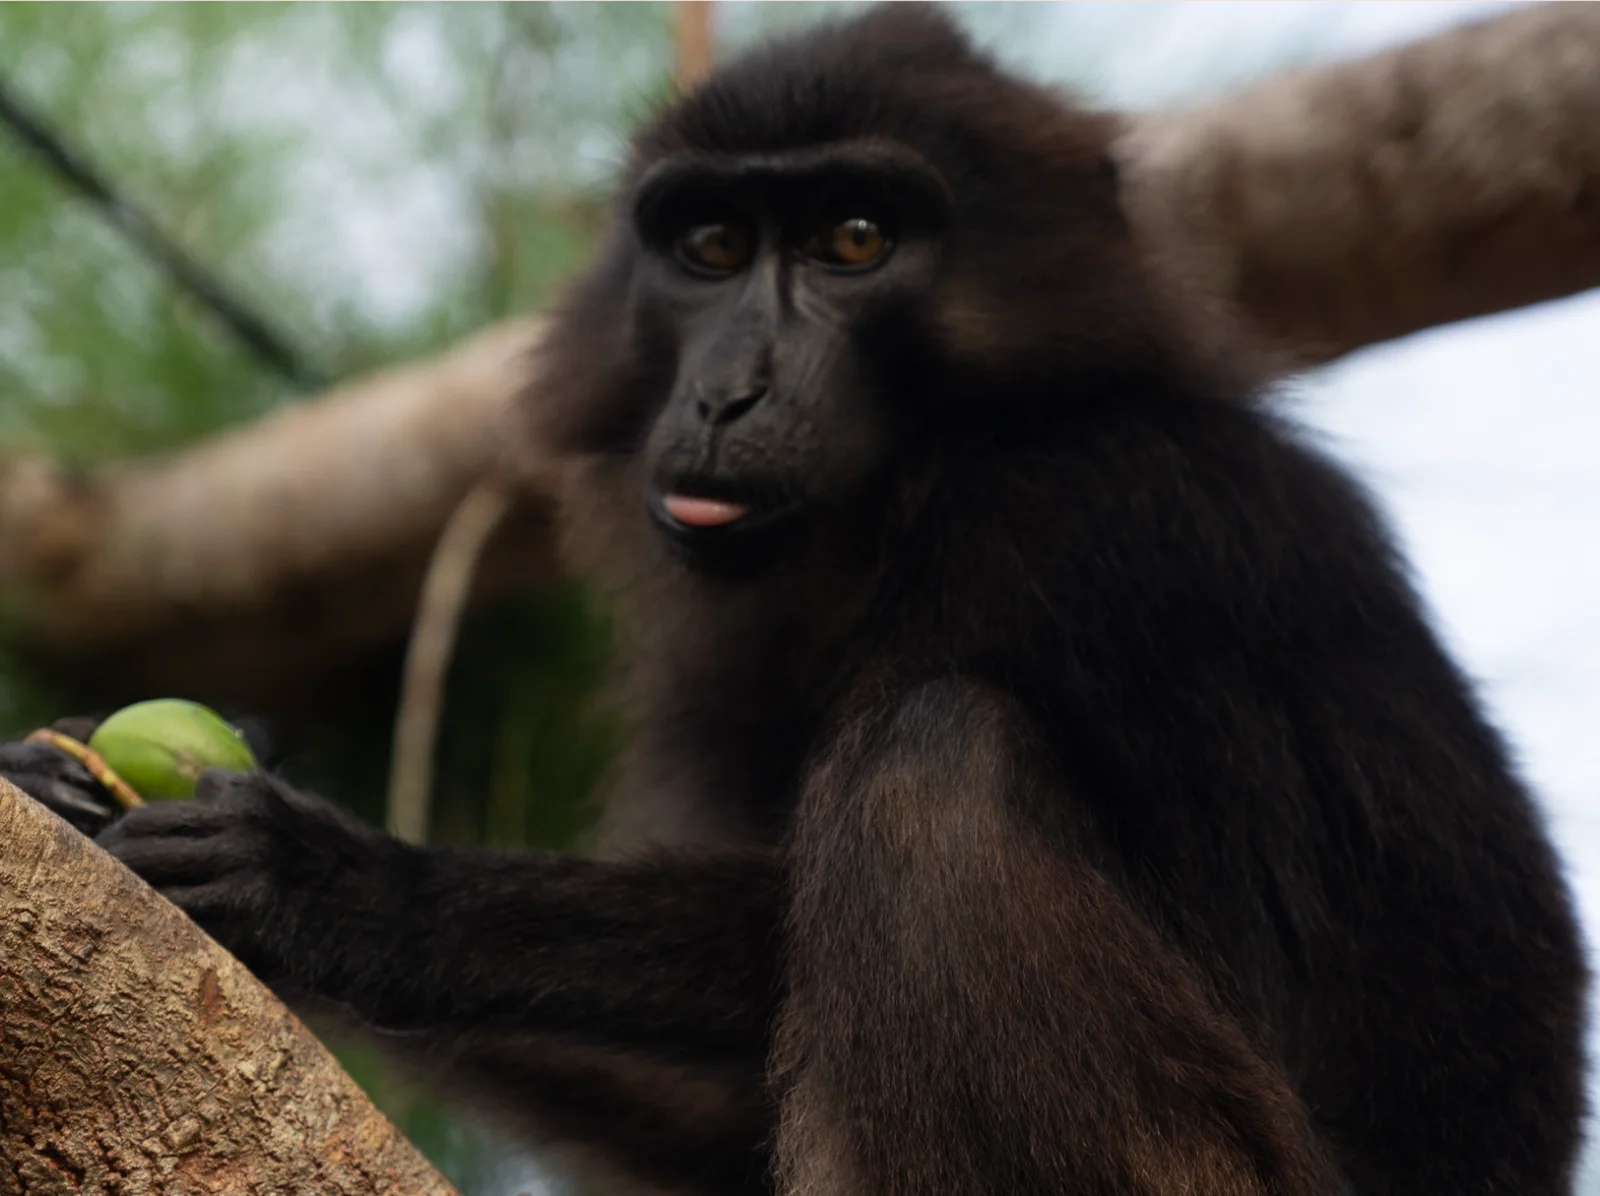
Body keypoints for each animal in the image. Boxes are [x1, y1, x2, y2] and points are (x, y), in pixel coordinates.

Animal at [1, 7, 1587, 1194]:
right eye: (710, 247)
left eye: (855, 240)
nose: (727, 393)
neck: (910, 491)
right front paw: (69, 789)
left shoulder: (1109, 521)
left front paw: (337, 882)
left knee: (927, 779)